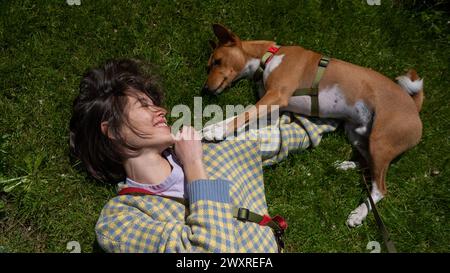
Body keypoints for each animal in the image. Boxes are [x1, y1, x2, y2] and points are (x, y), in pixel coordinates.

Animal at [202, 24, 424, 226]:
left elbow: (242, 115)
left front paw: (216, 129)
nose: (205, 89)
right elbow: (252, 123)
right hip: (357, 135)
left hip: (381, 141)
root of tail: (414, 106)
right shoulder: (272, 108)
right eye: (209, 65)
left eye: (217, 61)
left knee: (380, 188)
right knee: (367, 165)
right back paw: (346, 165)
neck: (270, 56)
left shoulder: (277, 95)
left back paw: (359, 213)